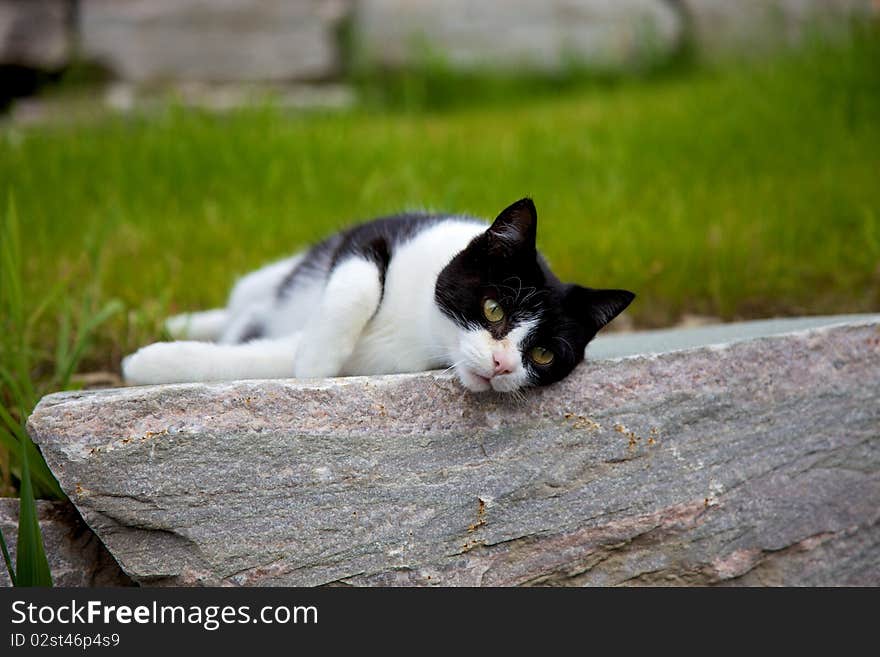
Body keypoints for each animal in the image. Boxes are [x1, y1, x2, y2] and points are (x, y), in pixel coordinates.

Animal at [122, 197, 632, 392]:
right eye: (493, 308)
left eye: (543, 354)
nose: (503, 364)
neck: (422, 326)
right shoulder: (374, 237)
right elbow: (358, 282)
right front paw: (316, 362)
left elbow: (263, 358)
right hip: (273, 275)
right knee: (244, 299)